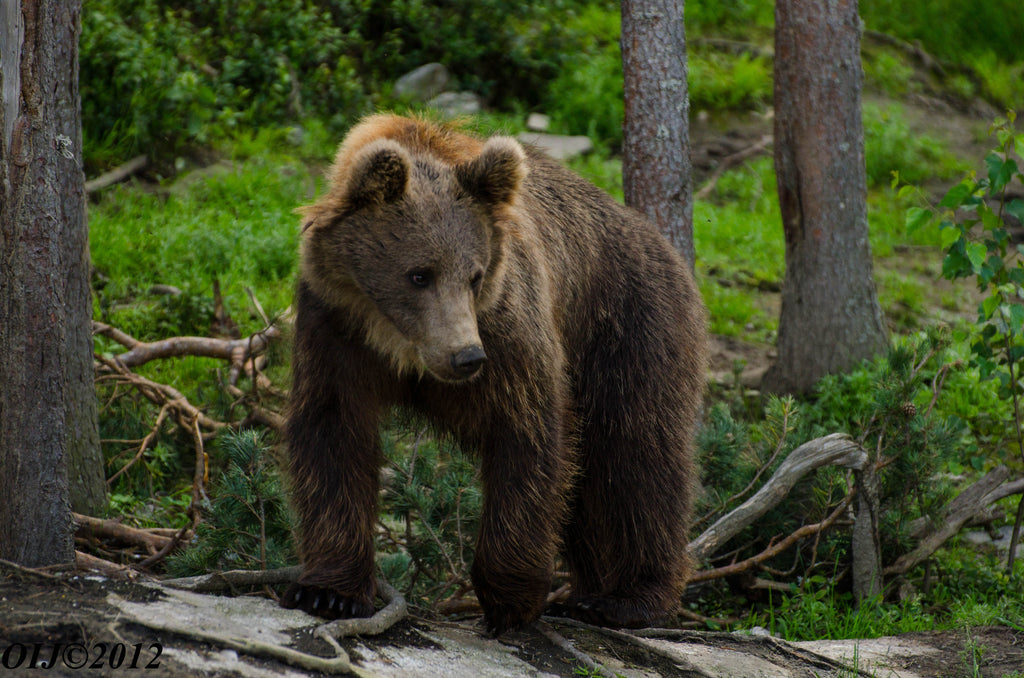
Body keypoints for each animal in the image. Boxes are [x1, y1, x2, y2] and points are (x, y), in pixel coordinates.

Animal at [280, 112, 704, 639]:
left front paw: (510, 600)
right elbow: (334, 436)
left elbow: (527, 437)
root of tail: (663, 245)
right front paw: (328, 591)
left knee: (635, 455)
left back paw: (628, 598)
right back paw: (592, 591)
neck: (400, 345)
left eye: (475, 275)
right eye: (419, 274)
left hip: (628, 327)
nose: (466, 357)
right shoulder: (334, 328)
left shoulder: (509, 333)